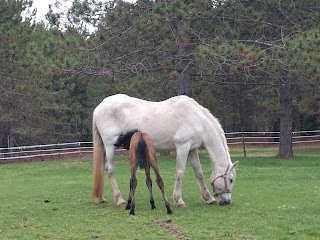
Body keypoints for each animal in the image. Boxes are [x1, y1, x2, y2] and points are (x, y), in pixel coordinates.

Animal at [92, 93, 238, 206]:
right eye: (231, 179)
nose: (227, 201)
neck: (197, 119)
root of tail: (100, 106)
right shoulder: (183, 146)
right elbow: (180, 172)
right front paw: (179, 200)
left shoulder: (192, 149)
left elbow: (199, 173)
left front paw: (209, 198)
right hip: (110, 146)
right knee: (110, 170)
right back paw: (120, 200)